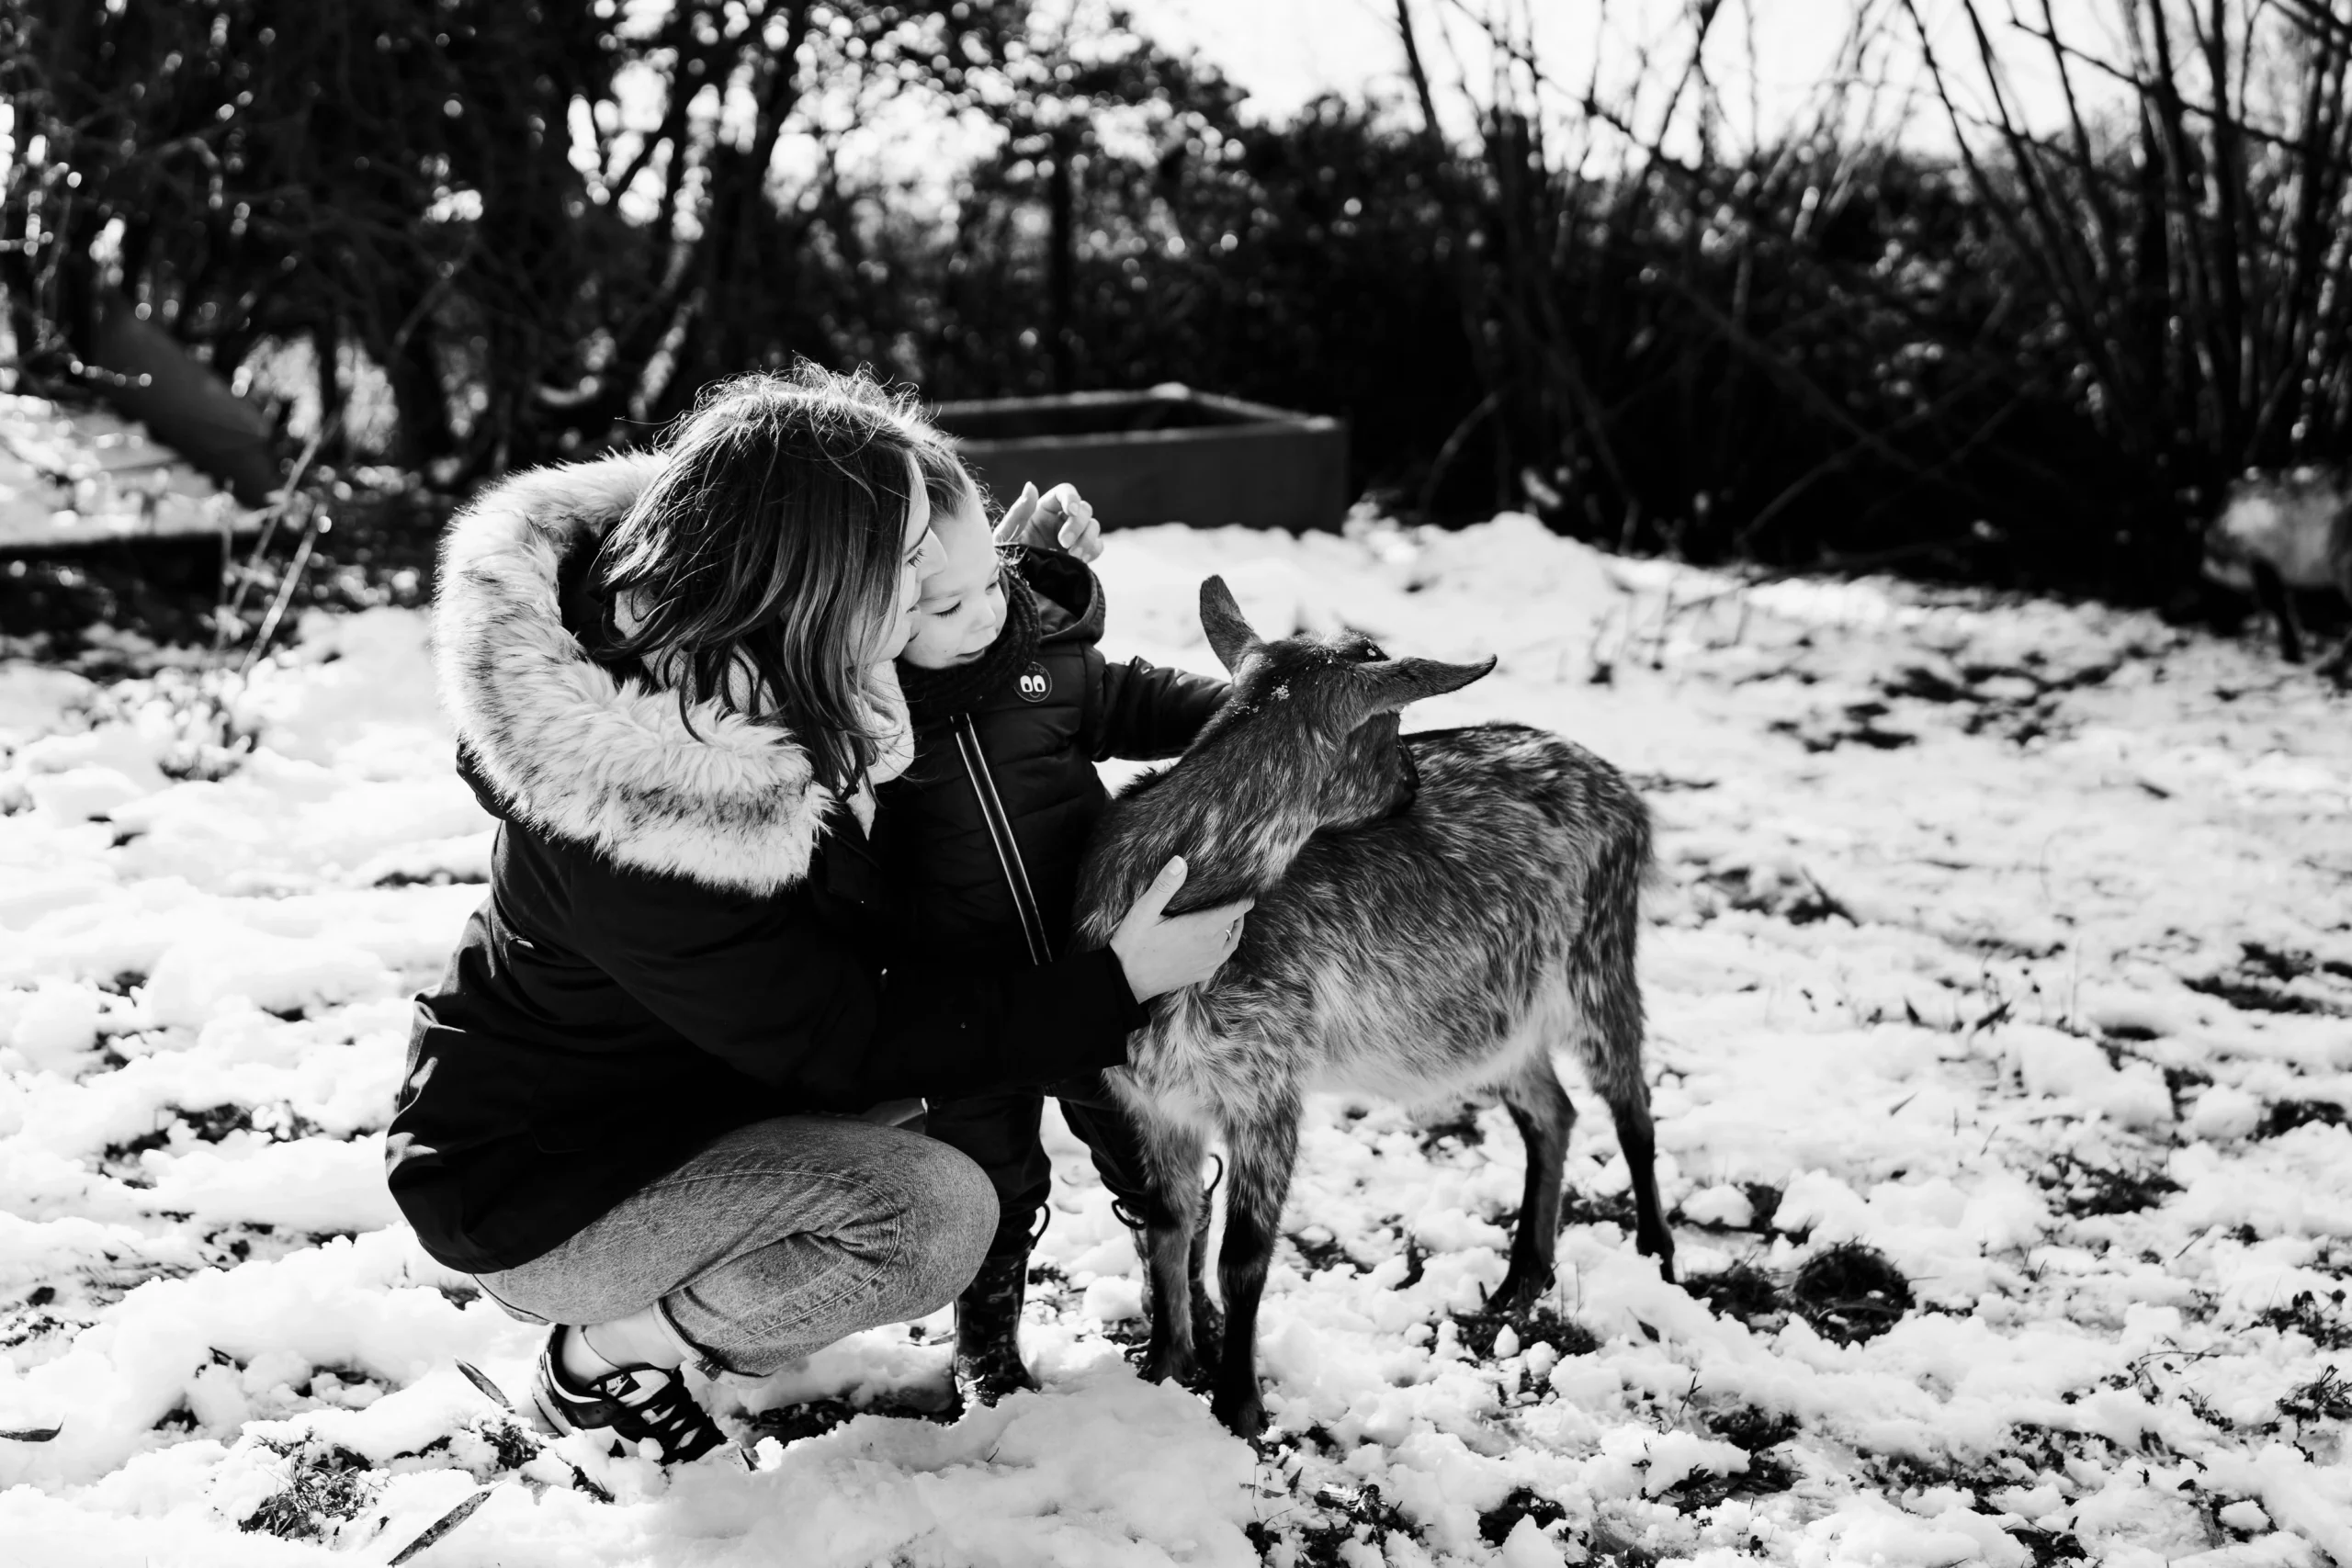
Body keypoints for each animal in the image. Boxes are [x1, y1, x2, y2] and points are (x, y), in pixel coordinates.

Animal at [1072, 577, 1672, 1435]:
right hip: (1492, 1017)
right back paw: (1521, 1279)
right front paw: (1162, 1370)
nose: (1414, 778)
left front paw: (1241, 1405)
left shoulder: (1271, 1079)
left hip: (1600, 949)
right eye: (1391, 726)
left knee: (1631, 1100)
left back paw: (1658, 1252)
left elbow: (1242, 1255)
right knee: (1551, 1110)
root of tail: (1628, 794)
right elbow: (1166, 1225)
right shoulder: (1152, 1099)